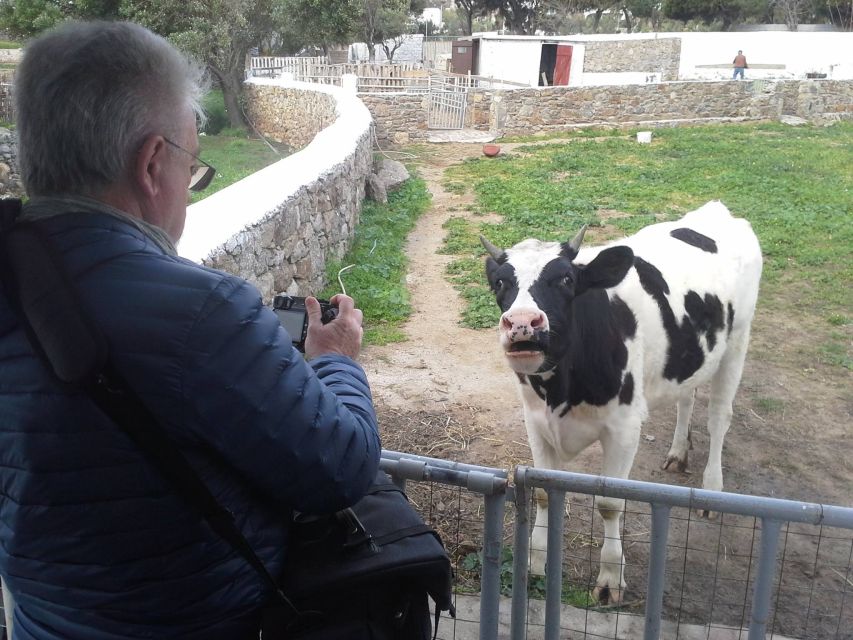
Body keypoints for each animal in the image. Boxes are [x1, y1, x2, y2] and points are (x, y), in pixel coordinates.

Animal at [482, 201, 764, 604]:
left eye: (566, 279)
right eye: (500, 283)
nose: (522, 323)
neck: (561, 391)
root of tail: (718, 210)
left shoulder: (624, 429)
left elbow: (610, 503)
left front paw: (610, 579)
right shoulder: (535, 421)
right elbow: (543, 494)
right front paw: (535, 565)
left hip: (737, 342)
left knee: (718, 418)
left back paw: (711, 490)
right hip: (690, 356)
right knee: (687, 398)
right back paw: (678, 453)